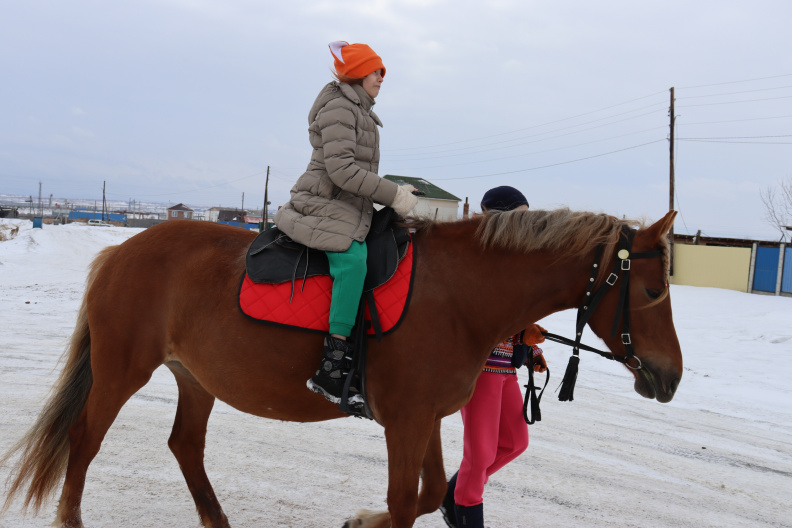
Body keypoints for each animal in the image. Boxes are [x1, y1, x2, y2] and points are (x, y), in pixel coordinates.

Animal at [0, 207, 682, 528]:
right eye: (653, 292)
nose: (670, 377)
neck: (460, 295)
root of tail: (120, 249)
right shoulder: (405, 422)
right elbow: (406, 503)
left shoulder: (424, 418)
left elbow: (430, 492)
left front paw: (360, 519)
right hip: (122, 372)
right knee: (84, 440)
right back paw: (73, 518)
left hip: (194, 377)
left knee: (185, 445)